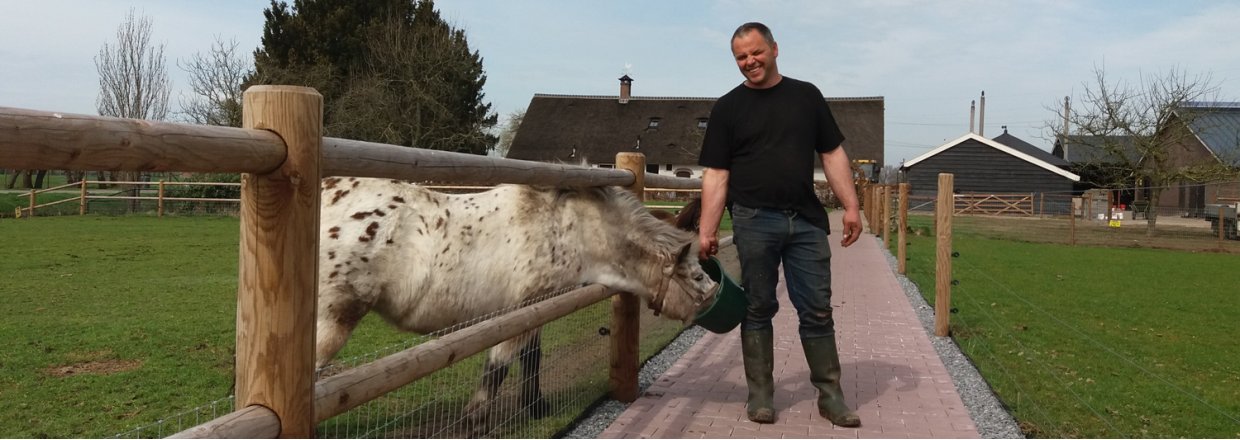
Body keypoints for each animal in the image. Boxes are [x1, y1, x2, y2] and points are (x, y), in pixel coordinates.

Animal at [314, 178, 714, 421]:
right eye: (695, 276)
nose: (713, 296)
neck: (568, 228)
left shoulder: (533, 311)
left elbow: (530, 359)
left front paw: (534, 406)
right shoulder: (520, 310)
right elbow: (503, 367)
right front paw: (484, 418)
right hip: (330, 325)